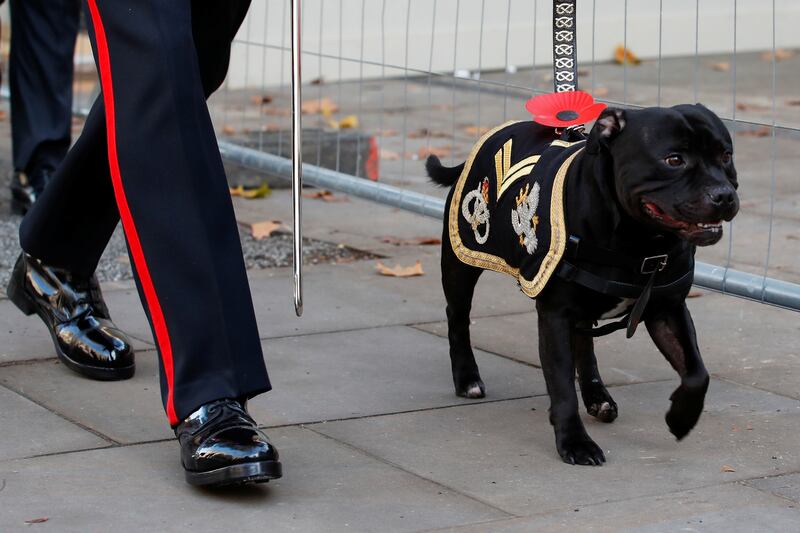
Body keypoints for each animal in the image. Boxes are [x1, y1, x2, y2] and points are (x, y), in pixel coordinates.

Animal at [428, 106, 740, 464]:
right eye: (674, 159)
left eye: (726, 155)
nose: (723, 195)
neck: (639, 241)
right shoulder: (556, 314)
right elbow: (562, 387)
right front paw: (575, 442)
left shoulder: (667, 309)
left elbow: (697, 372)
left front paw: (681, 418)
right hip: (461, 262)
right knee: (457, 317)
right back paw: (467, 378)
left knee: (585, 344)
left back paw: (597, 395)